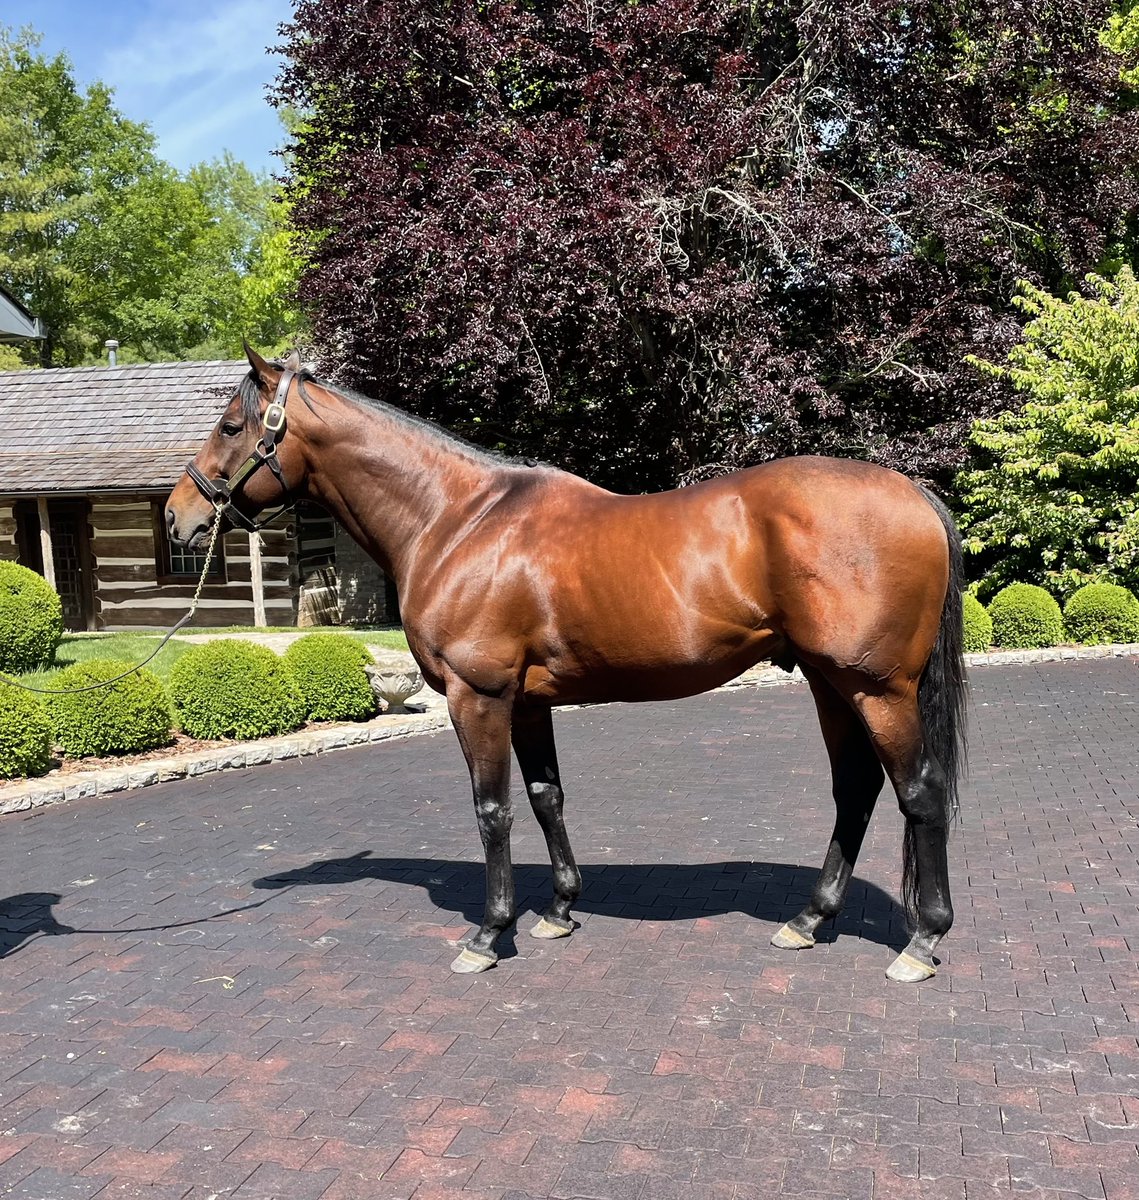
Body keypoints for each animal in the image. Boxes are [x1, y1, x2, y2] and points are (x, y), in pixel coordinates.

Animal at [166, 345, 966, 983]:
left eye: (231, 427)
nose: (179, 518)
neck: (458, 521)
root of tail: (914, 494)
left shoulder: (477, 695)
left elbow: (492, 809)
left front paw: (489, 933)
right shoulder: (526, 701)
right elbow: (546, 794)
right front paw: (557, 909)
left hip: (878, 689)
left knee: (918, 794)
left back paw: (923, 942)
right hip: (832, 684)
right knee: (855, 791)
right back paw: (808, 920)